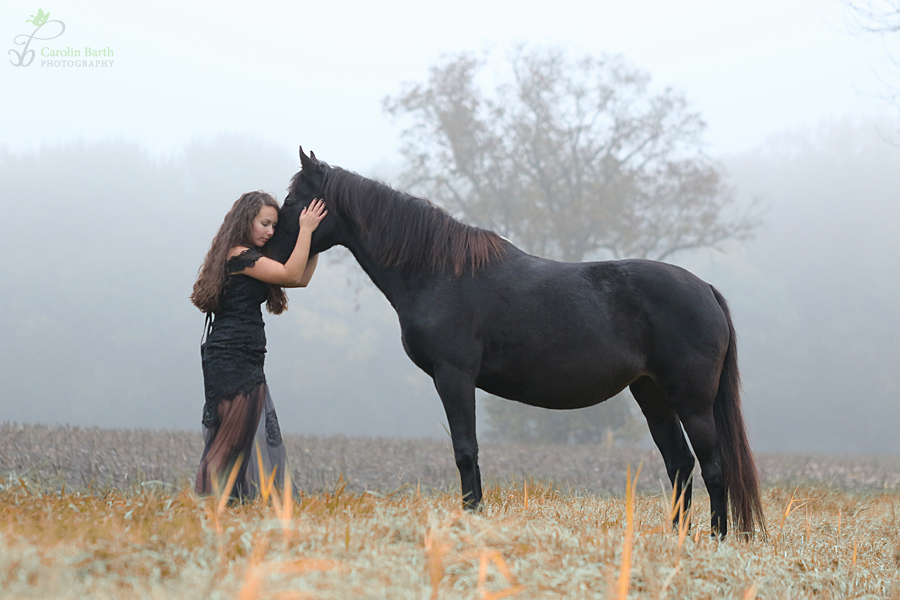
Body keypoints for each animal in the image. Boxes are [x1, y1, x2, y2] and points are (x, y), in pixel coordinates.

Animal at [270, 148, 764, 536]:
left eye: (293, 201)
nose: (265, 254)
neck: (437, 271)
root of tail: (705, 289)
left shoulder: (454, 376)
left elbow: (465, 451)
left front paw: (472, 517)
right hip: (652, 393)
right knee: (680, 464)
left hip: (692, 400)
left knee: (713, 467)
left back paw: (716, 539)